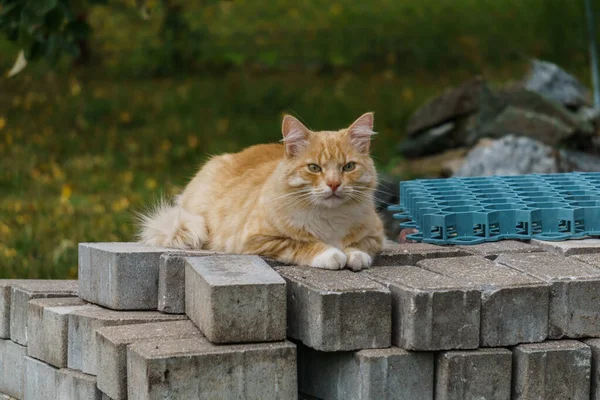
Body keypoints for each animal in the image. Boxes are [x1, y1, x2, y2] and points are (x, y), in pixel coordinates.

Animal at [139, 111, 384, 270]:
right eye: (314, 168)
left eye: (348, 167)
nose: (334, 184)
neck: (329, 218)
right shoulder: (258, 239)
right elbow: (301, 244)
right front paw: (331, 254)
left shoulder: (376, 235)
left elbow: (360, 245)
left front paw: (355, 255)